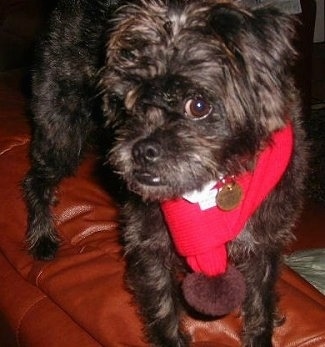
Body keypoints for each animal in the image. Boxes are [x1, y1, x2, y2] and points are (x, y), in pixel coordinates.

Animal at [23, 0, 306, 347]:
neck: (213, 185)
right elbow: (163, 307)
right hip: (62, 131)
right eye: (124, 103)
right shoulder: (148, 242)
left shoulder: (264, 242)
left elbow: (260, 305)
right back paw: (42, 238)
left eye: (198, 105)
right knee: (36, 179)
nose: (141, 150)